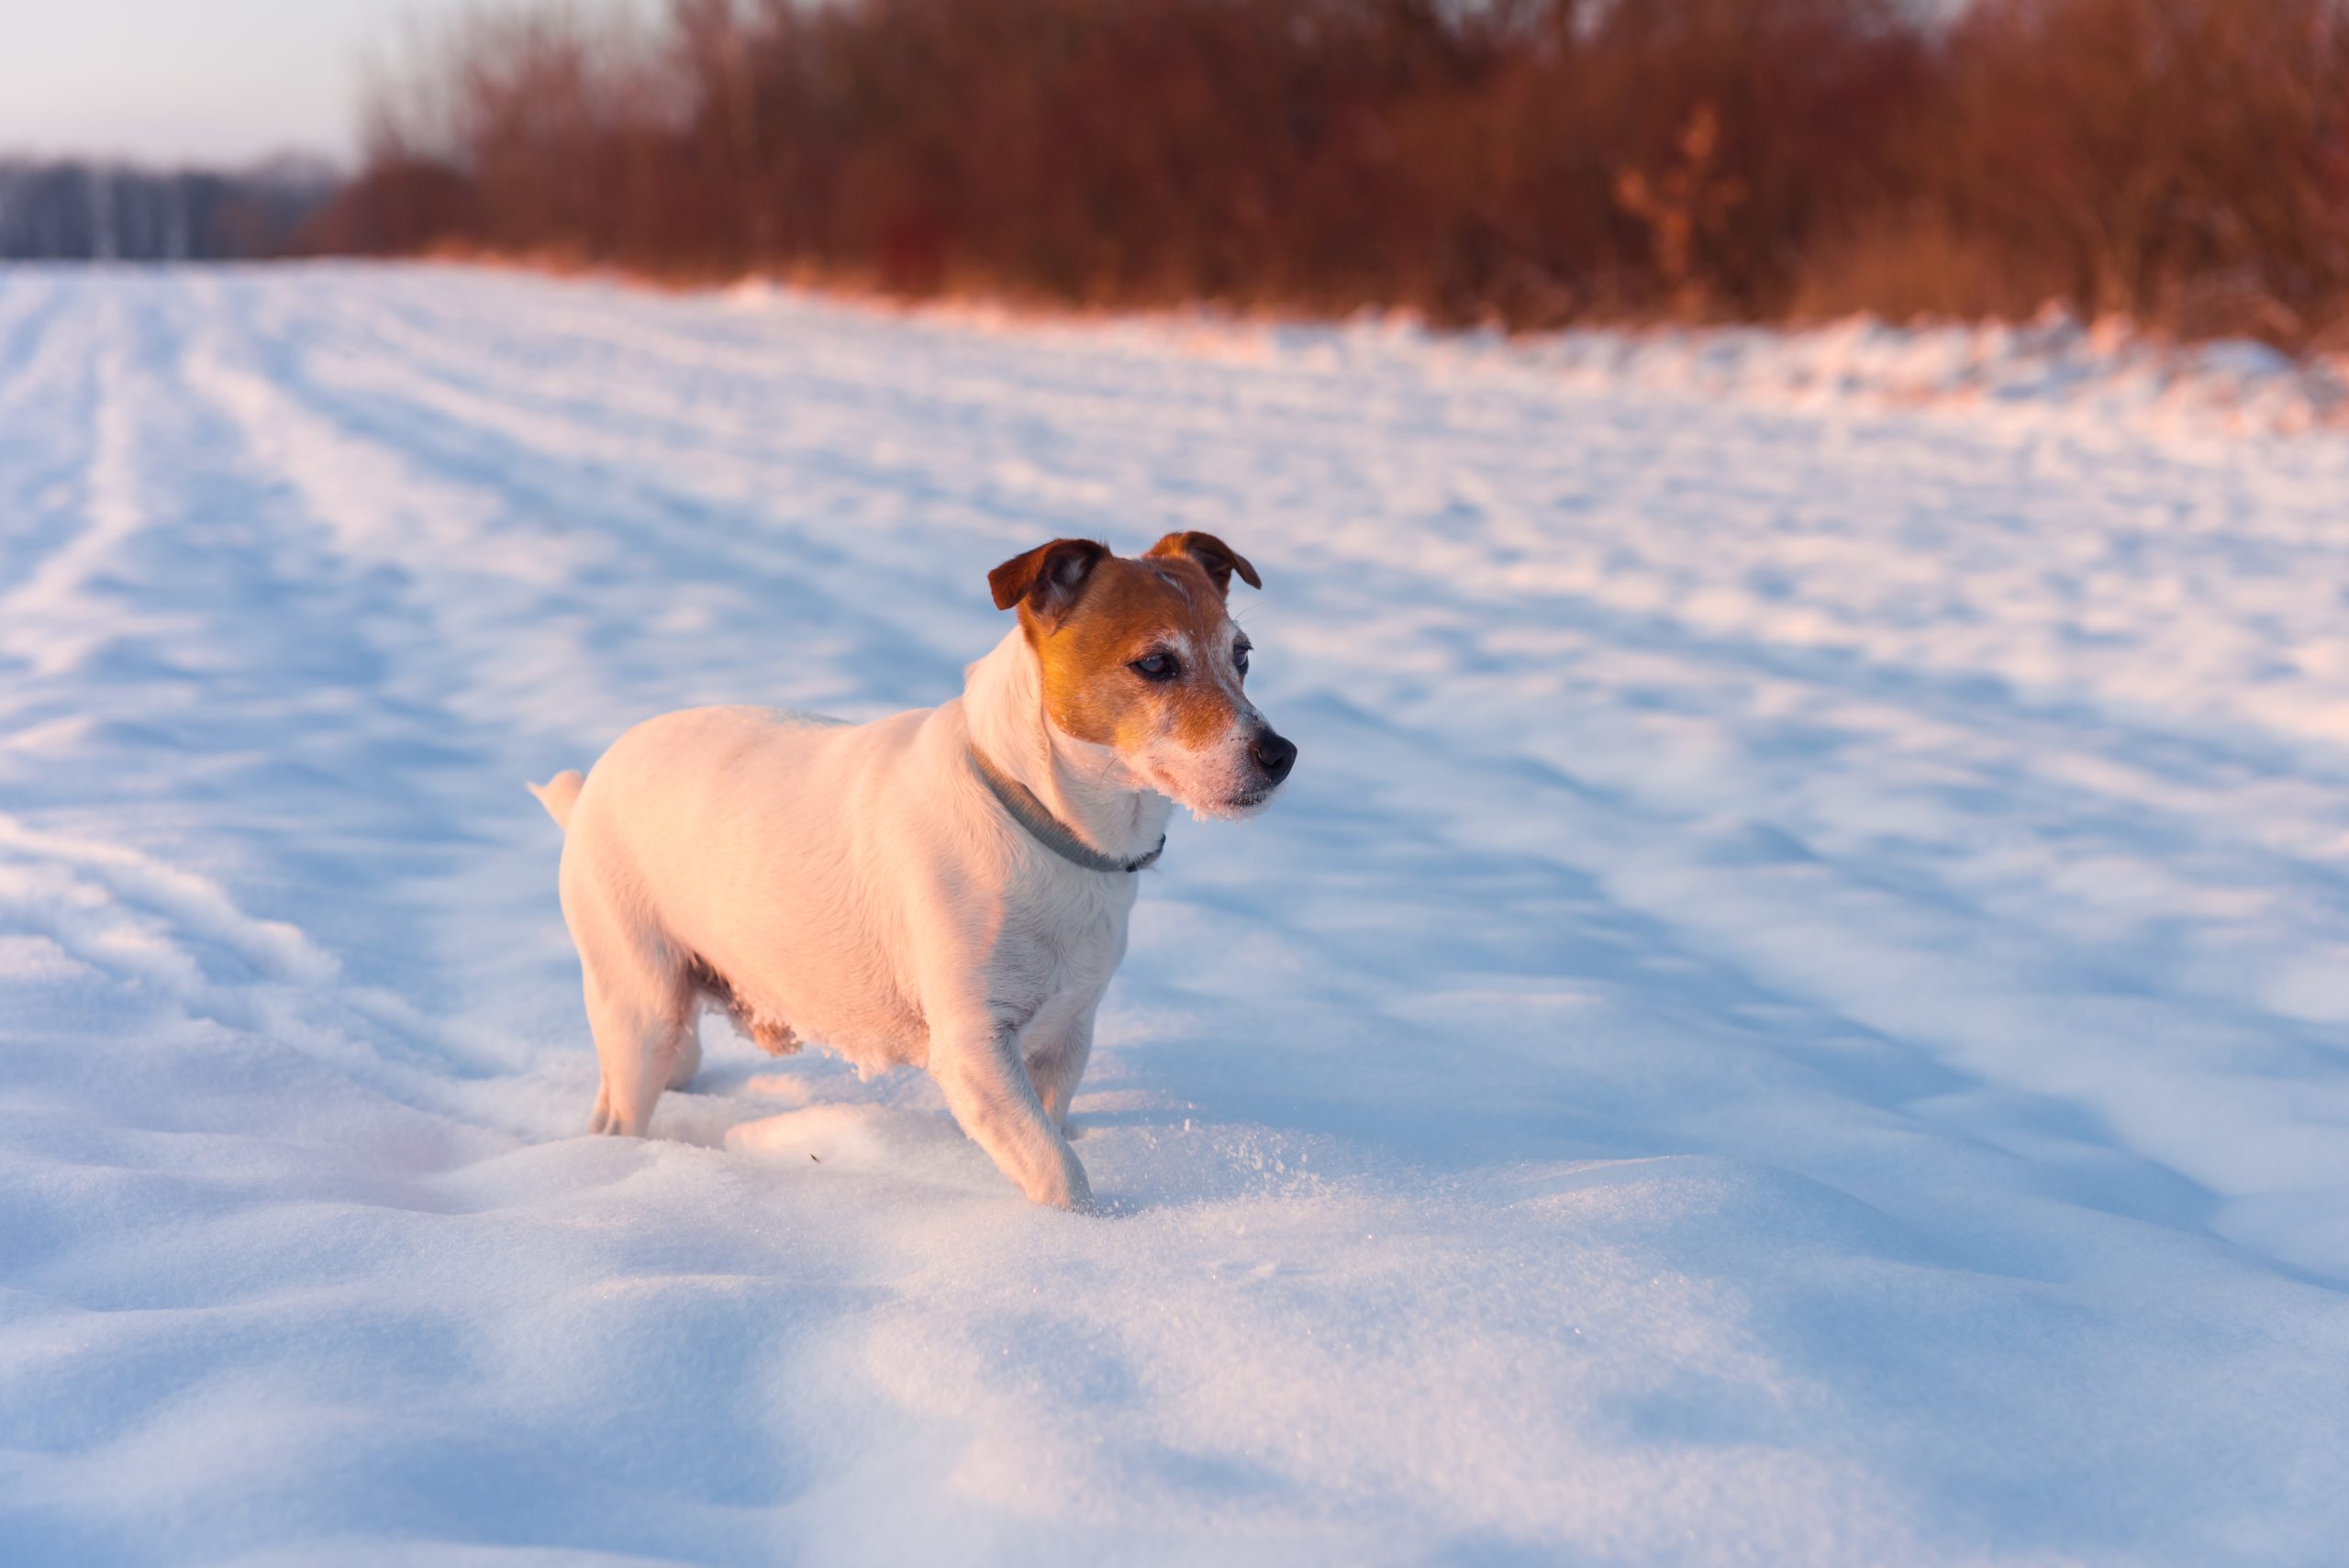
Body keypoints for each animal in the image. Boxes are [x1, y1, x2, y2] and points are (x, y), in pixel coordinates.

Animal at [533, 532, 1297, 1211]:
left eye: (1243, 656)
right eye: (1156, 663)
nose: (1280, 753)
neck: (1037, 816)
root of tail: (589, 783)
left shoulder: (1066, 1035)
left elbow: (1051, 1130)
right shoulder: (974, 1050)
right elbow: (1058, 1171)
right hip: (641, 1004)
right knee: (620, 1108)